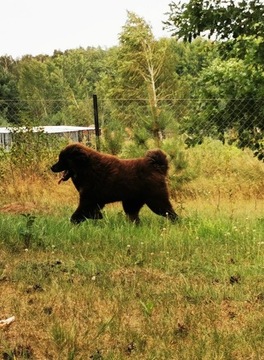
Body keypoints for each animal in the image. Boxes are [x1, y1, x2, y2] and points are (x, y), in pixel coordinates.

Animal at [50, 143, 178, 222]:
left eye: (62, 159)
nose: (52, 167)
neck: (86, 167)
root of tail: (156, 167)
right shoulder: (94, 202)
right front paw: (98, 217)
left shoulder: (88, 200)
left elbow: (76, 216)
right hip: (131, 203)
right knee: (134, 218)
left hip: (156, 201)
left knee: (172, 215)